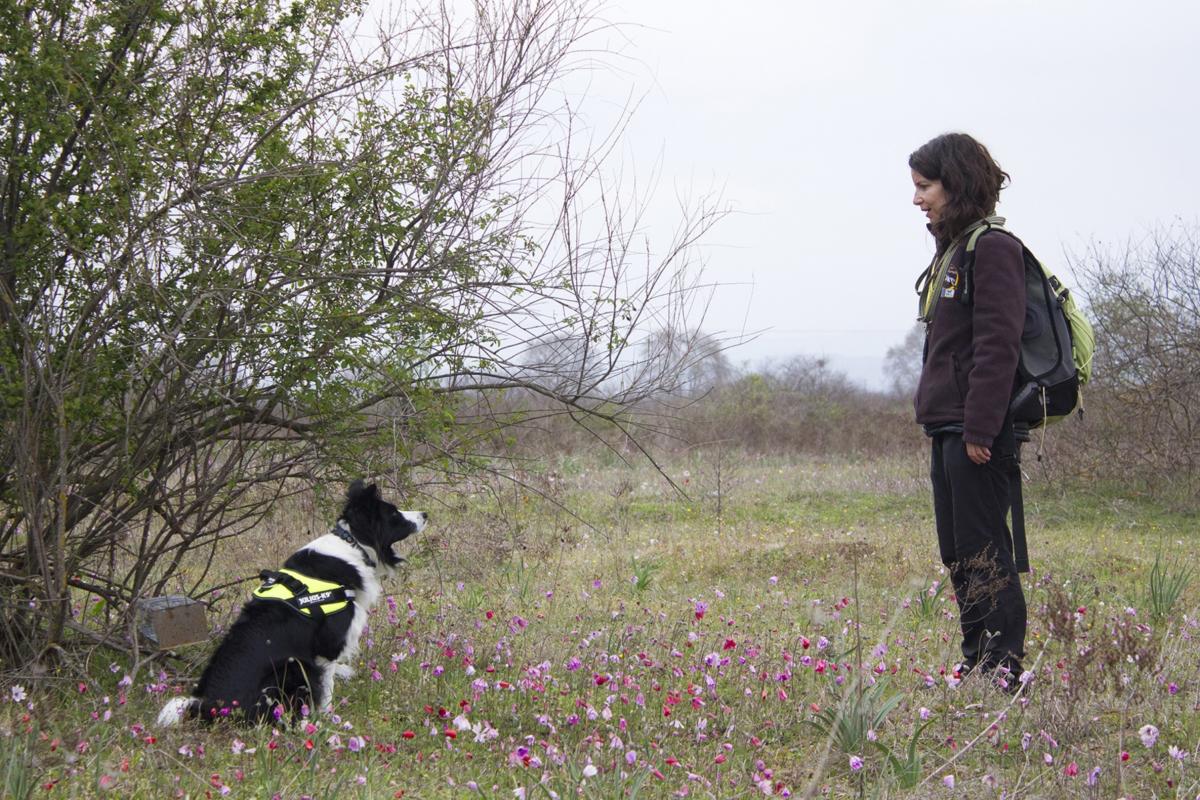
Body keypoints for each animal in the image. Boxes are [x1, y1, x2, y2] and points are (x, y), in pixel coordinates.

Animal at [157, 479, 424, 729]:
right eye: (394, 514)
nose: (425, 514)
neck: (353, 543)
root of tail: (208, 706)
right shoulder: (325, 648)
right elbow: (325, 690)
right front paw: (326, 720)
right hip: (290, 666)